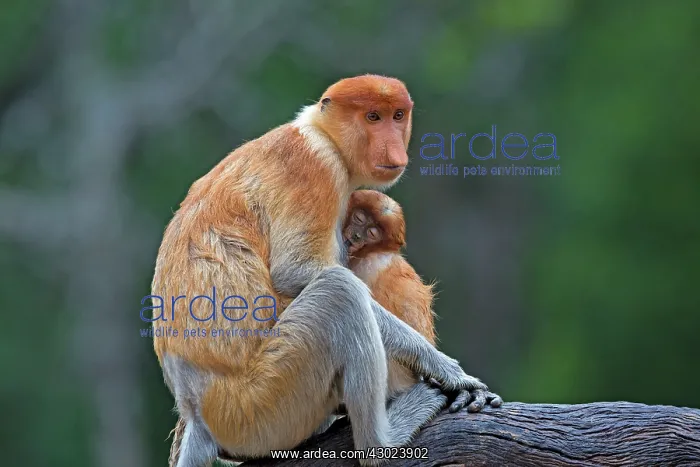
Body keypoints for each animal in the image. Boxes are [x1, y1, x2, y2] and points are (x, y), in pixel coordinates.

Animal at [151, 74, 502, 467]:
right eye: (372, 117)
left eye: (397, 116)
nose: (394, 149)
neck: (320, 132)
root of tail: (196, 410)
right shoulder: (317, 166)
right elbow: (297, 271)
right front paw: (448, 371)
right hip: (259, 404)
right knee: (340, 292)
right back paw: (385, 442)